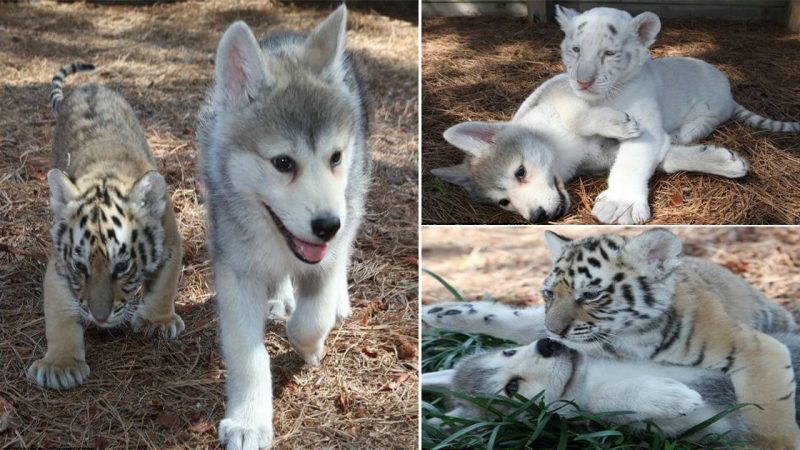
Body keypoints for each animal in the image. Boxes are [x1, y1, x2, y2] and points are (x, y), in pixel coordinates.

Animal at [195, 5, 370, 448]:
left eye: (335, 157)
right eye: (283, 163)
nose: (327, 226)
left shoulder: (327, 251)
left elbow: (311, 318)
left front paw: (310, 346)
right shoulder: (236, 269)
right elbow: (247, 354)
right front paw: (249, 422)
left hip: (355, 199)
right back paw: (279, 297)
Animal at [424, 336, 800, 442]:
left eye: (508, 352)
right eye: (511, 388)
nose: (548, 344)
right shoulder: (709, 424)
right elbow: (601, 402)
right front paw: (667, 395)